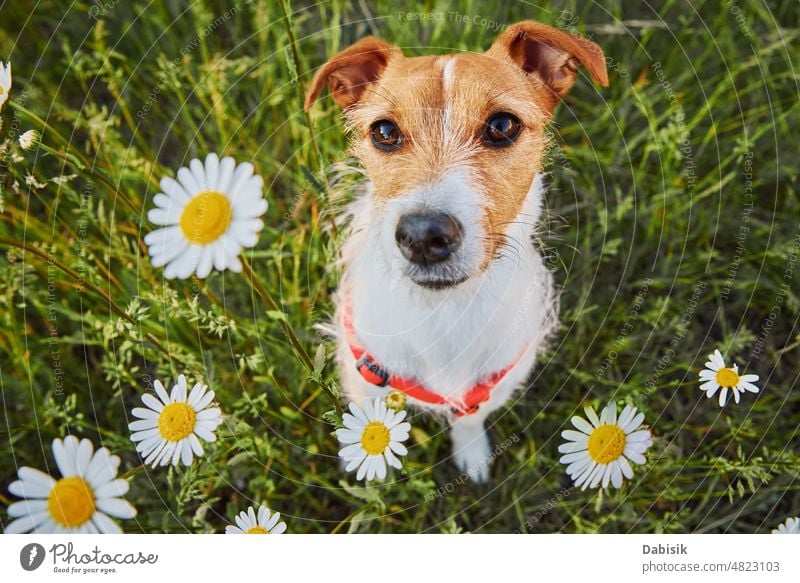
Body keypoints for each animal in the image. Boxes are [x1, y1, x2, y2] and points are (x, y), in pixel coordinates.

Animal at [306, 20, 608, 482]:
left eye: (502, 125)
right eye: (384, 132)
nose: (422, 236)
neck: (444, 311)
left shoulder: (491, 383)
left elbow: (470, 418)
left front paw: (472, 453)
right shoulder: (363, 380)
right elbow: (368, 421)